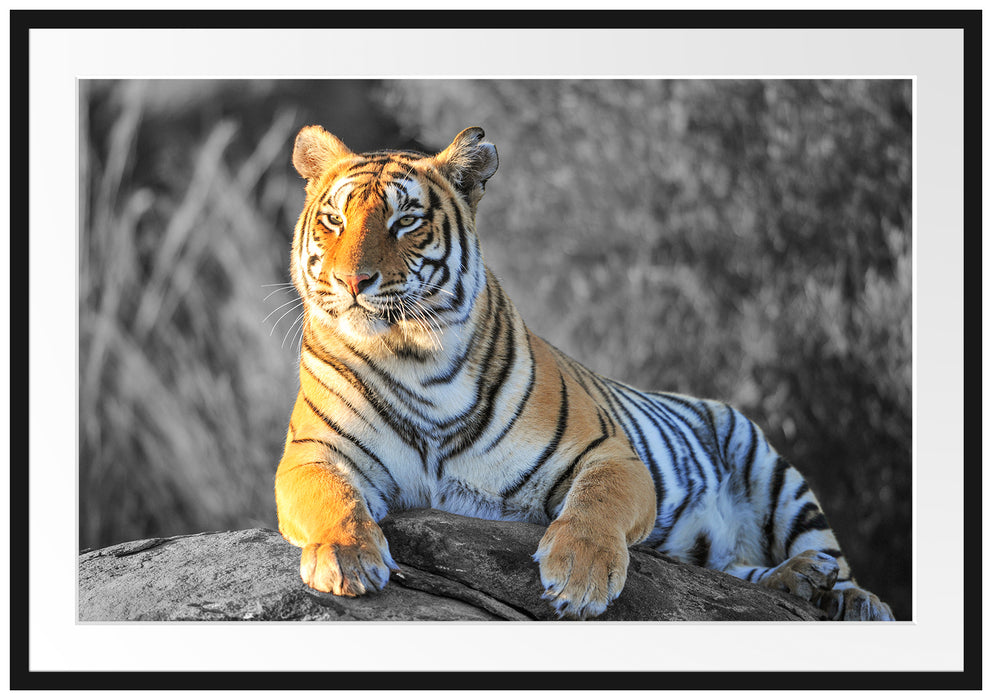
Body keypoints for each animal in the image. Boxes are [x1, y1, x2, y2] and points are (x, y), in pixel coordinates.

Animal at [274, 124, 895, 621]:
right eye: (334, 220)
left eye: (406, 221)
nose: (353, 281)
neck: (412, 358)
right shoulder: (312, 454)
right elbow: (332, 498)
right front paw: (347, 558)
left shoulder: (610, 453)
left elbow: (597, 503)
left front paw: (580, 575)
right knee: (735, 571)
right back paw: (799, 581)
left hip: (772, 470)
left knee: (830, 558)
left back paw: (847, 596)